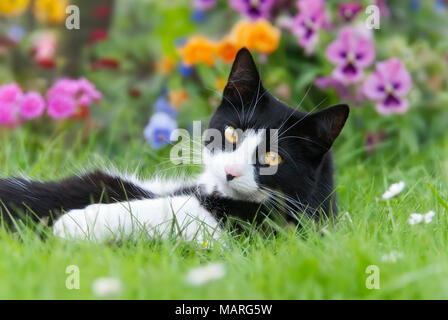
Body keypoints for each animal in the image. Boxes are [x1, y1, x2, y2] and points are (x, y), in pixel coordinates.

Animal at [0, 47, 350, 242]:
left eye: (272, 158)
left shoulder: (260, 230)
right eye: (232, 133)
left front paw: (76, 222)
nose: (231, 172)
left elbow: (167, 212)